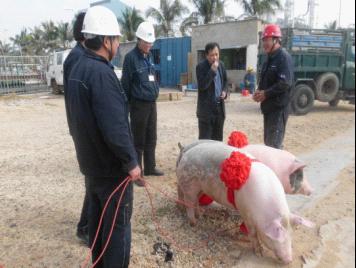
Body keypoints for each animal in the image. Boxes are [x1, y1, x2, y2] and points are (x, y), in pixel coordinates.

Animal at [176, 142, 314, 264]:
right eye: (277, 238)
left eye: (291, 236)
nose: (289, 260)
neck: (263, 211)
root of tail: (186, 153)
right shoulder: (246, 213)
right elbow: (252, 233)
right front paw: (259, 253)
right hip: (189, 184)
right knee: (188, 202)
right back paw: (193, 223)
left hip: (200, 188)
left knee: (194, 201)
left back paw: (200, 215)